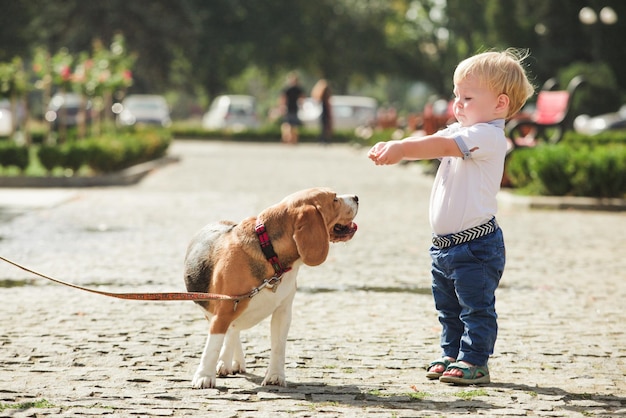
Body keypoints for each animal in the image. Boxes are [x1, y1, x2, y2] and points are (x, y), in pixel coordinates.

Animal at [183, 187, 356, 388]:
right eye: (335, 199)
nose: (356, 197)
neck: (270, 254)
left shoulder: (283, 312)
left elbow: (278, 347)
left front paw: (275, 376)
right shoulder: (223, 310)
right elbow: (212, 346)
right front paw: (204, 376)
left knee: (233, 331)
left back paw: (231, 362)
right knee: (230, 331)